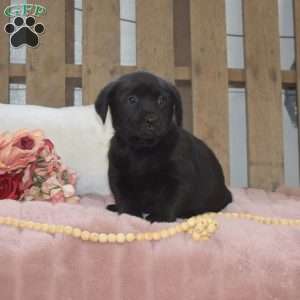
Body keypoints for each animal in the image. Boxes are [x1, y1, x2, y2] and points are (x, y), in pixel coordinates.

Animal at [96, 71, 232, 221]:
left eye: (162, 100)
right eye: (132, 99)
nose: (152, 120)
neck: (143, 149)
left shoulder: (179, 178)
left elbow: (170, 200)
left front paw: (159, 218)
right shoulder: (118, 176)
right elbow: (125, 199)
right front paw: (130, 216)